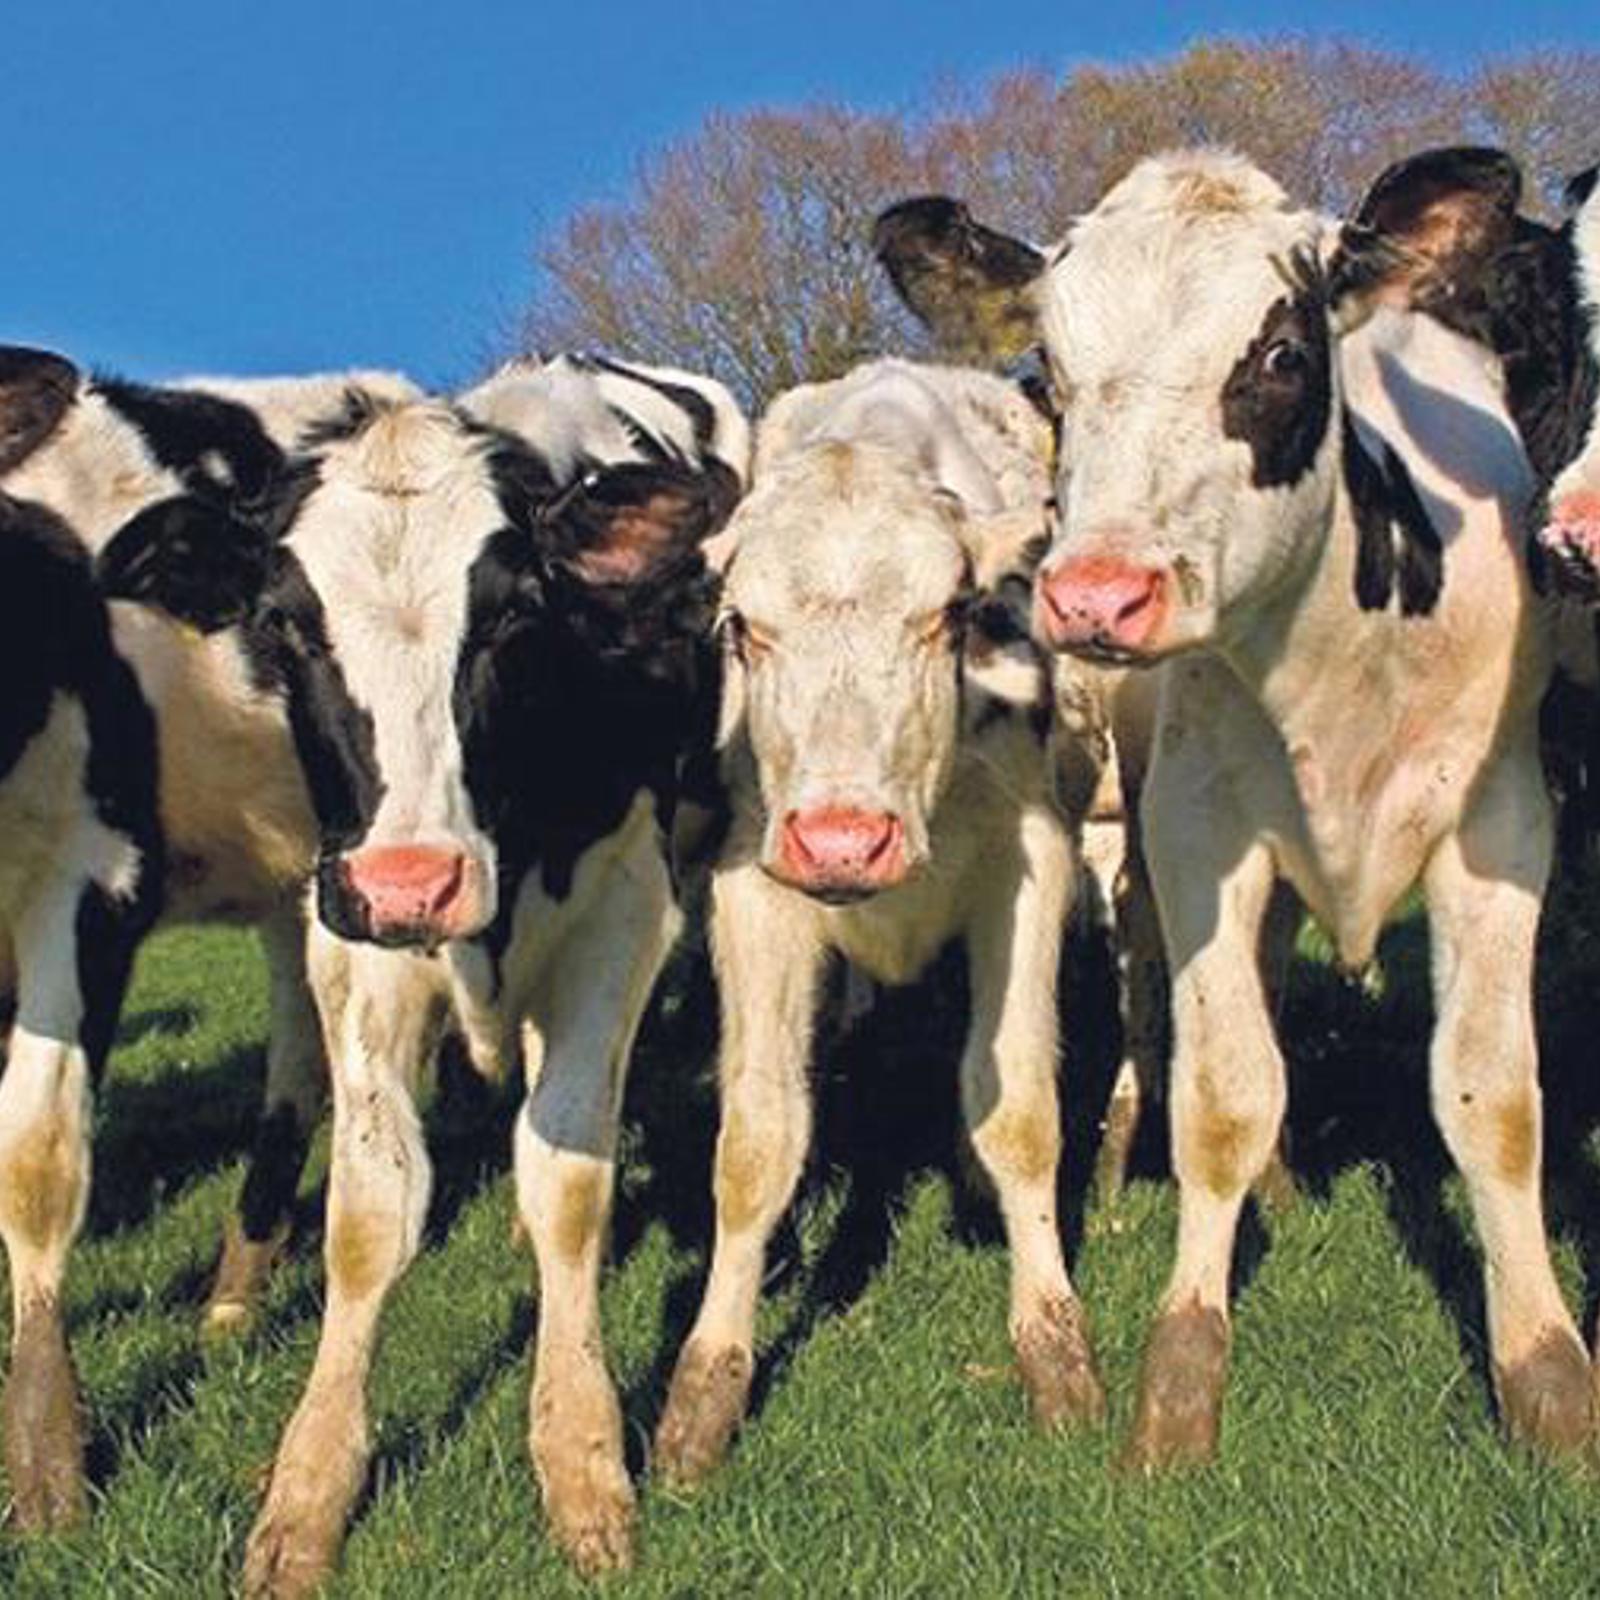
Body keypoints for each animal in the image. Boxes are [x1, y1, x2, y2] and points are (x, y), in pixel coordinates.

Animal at [95, 358, 749, 1593]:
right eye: (287, 623)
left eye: (512, 614)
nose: (415, 882)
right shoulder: (348, 934)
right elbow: (369, 1214)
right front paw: (306, 1491)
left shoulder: (623, 915)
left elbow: (569, 1182)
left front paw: (582, 1460)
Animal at [650, 357, 1111, 1491]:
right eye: (741, 627)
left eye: (945, 615)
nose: (842, 840)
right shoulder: (753, 888)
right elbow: (756, 1141)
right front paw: (704, 1388)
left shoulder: (1028, 866)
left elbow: (1017, 1109)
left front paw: (1054, 1347)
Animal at [875, 146, 1594, 1470]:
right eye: (1051, 375)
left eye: (1280, 357)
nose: (1098, 594)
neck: (1341, 654)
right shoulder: (1195, 828)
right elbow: (1220, 1097)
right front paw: (1178, 1383)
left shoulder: (1502, 825)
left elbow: (1493, 1099)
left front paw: (1549, 1378)